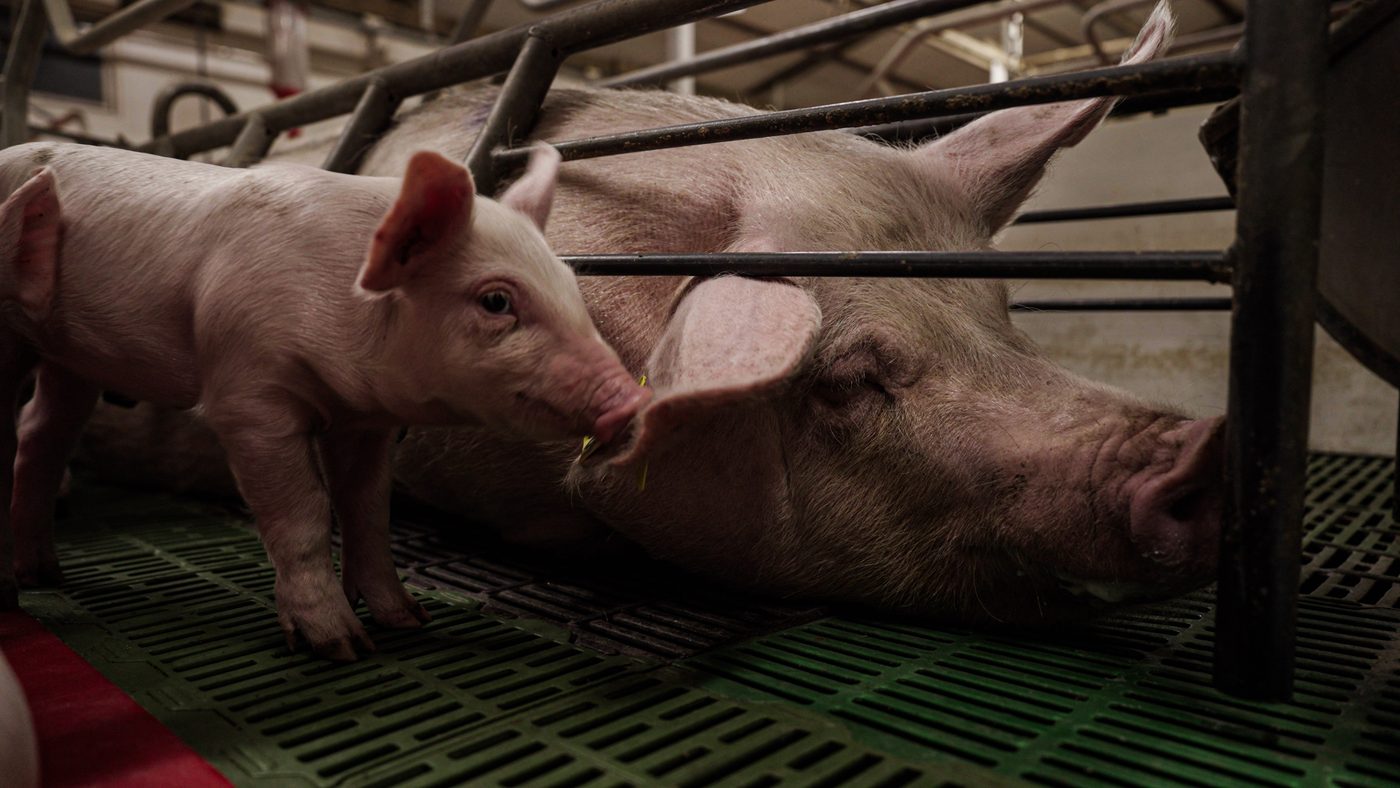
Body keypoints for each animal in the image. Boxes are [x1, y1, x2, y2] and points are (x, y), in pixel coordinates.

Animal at [0, 142, 648, 659]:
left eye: (572, 289)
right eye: (495, 301)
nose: (630, 402)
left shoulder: (367, 423)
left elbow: (368, 511)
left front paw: (409, 620)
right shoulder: (249, 394)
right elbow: (305, 512)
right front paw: (342, 648)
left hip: (72, 359)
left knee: (40, 433)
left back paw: (44, 575)